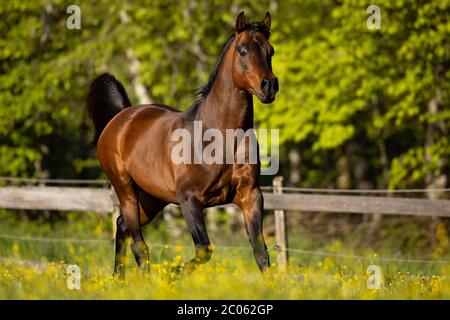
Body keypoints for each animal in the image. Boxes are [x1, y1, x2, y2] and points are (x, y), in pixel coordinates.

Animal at [85, 11, 278, 278]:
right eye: (242, 50)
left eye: (271, 51)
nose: (269, 86)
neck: (219, 138)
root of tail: (121, 118)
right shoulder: (190, 201)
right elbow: (204, 250)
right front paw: (173, 275)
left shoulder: (251, 197)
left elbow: (261, 252)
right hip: (125, 190)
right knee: (138, 244)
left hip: (153, 198)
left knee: (122, 226)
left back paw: (120, 280)